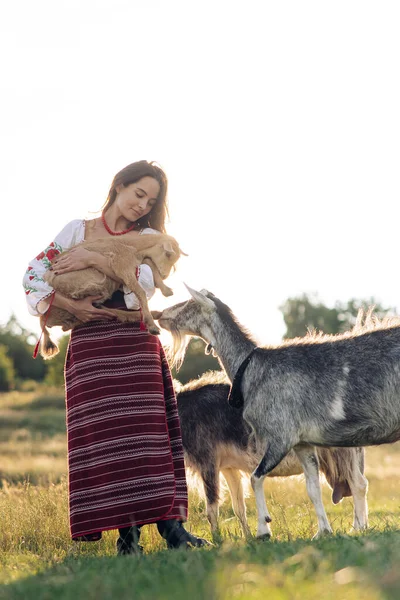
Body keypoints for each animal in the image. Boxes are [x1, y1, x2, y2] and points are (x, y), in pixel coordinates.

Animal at [175, 372, 368, 536]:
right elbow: (239, 507)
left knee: (358, 484)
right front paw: (249, 537)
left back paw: (357, 528)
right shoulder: (228, 467)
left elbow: (211, 508)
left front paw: (217, 539)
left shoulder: (207, 461)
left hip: (342, 453)